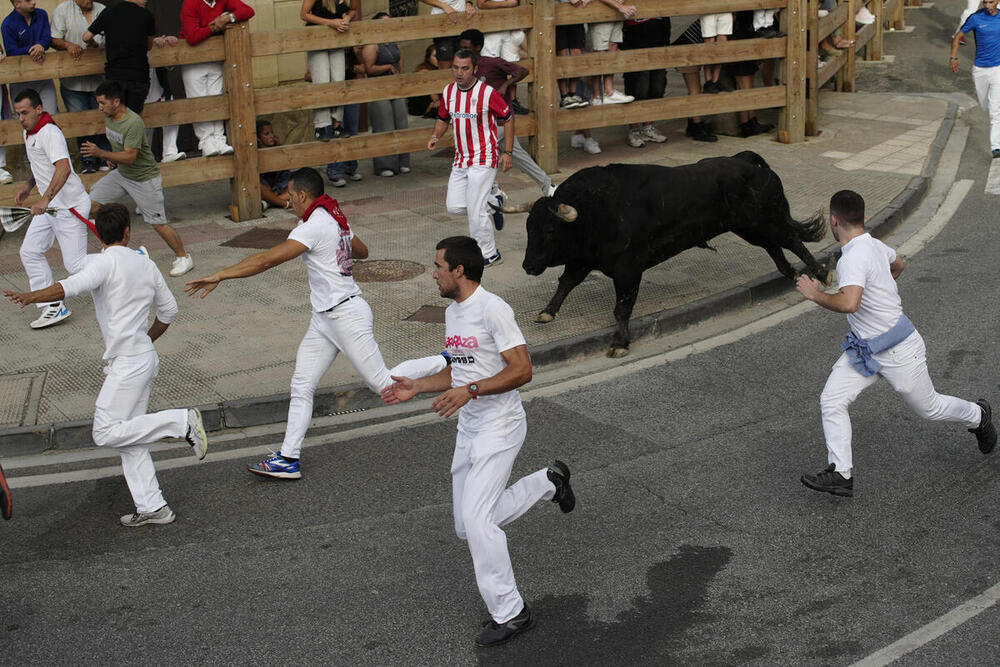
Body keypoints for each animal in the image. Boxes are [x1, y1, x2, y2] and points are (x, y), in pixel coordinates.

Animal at [504, 152, 832, 358]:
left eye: (549, 230)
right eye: (529, 227)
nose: (528, 266)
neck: (595, 210)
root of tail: (749, 162)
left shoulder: (627, 269)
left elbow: (621, 307)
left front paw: (620, 343)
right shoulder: (583, 259)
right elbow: (566, 282)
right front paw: (547, 312)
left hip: (765, 221)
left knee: (792, 240)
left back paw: (820, 272)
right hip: (751, 229)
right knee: (775, 247)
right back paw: (793, 274)